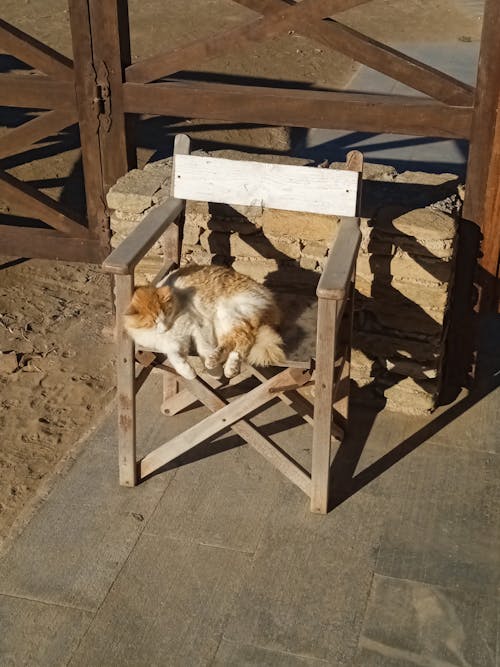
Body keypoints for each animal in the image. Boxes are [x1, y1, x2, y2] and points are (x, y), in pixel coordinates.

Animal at [124, 264, 286, 380]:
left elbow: (204, 348)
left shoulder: (200, 326)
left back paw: (218, 364)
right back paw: (227, 366)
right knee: (235, 343)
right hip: (223, 323)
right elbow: (176, 359)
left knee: (244, 338)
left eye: (166, 315)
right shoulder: (169, 345)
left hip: (227, 314)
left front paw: (214, 372)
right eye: (153, 322)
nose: (164, 327)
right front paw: (189, 373)